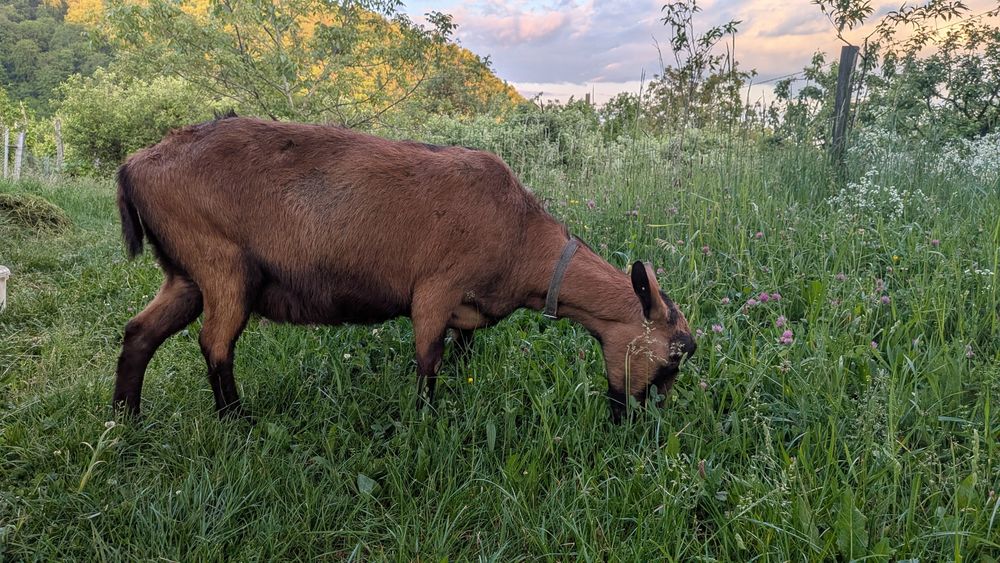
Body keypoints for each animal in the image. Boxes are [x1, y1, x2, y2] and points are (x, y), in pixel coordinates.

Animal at [114, 116, 696, 422]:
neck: (522, 236)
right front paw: (426, 421)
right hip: (224, 267)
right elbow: (427, 362)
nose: (642, 424)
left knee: (139, 332)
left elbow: (460, 354)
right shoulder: (435, 290)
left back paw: (126, 418)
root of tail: (134, 166)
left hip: (185, 275)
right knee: (215, 344)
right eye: (673, 356)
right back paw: (238, 422)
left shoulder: (467, 309)